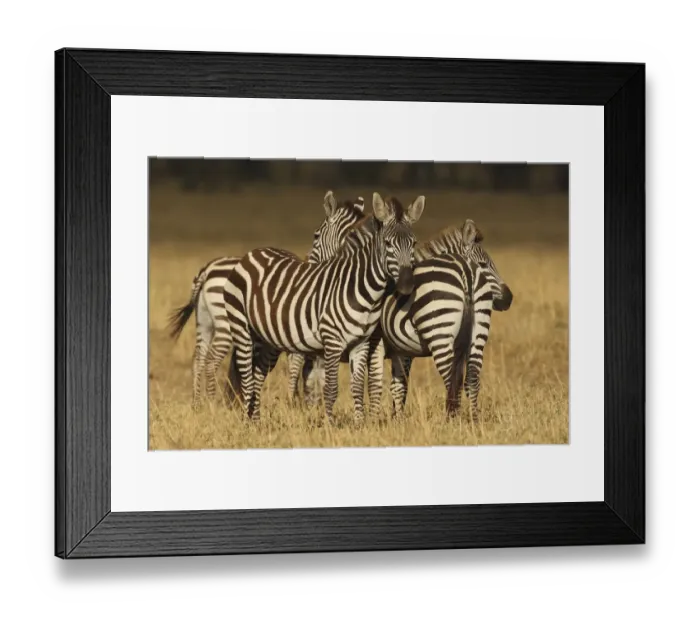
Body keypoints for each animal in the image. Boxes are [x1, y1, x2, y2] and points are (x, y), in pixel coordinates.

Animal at [167, 192, 365, 411]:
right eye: (315, 236)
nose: (309, 263)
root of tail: (208, 269)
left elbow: (311, 374)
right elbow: (302, 372)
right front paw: (296, 404)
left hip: (204, 321)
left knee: (199, 359)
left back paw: (198, 404)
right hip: (226, 325)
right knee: (212, 361)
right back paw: (212, 404)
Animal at [224, 192, 425, 423]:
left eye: (414, 243)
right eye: (388, 243)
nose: (407, 285)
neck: (362, 288)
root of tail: (253, 253)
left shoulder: (362, 342)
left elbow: (358, 387)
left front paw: (360, 424)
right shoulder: (333, 341)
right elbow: (332, 388)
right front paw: (330, 424)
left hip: (266, 338)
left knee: (257, 377)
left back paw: (256, 421)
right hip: (242, 329)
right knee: (248, 380)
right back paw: (248, 422)